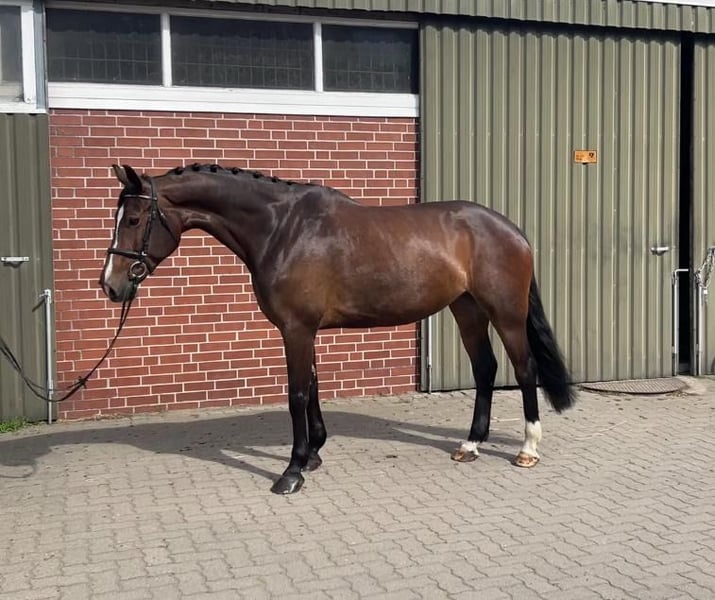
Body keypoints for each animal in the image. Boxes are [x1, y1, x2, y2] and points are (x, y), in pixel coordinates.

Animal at [99, 163, 575, 495]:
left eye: (134, 219)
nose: (110, 285)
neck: (281, 229)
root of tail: (510, 229)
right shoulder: (302, 330)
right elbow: (311, 386)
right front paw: (312, 455)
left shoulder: (296, 328)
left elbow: (297, 394)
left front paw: (292, 471)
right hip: (467, 309)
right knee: (485, 369)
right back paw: (471, 445)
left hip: (505, 313)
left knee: (524, 369)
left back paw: (527, 450)